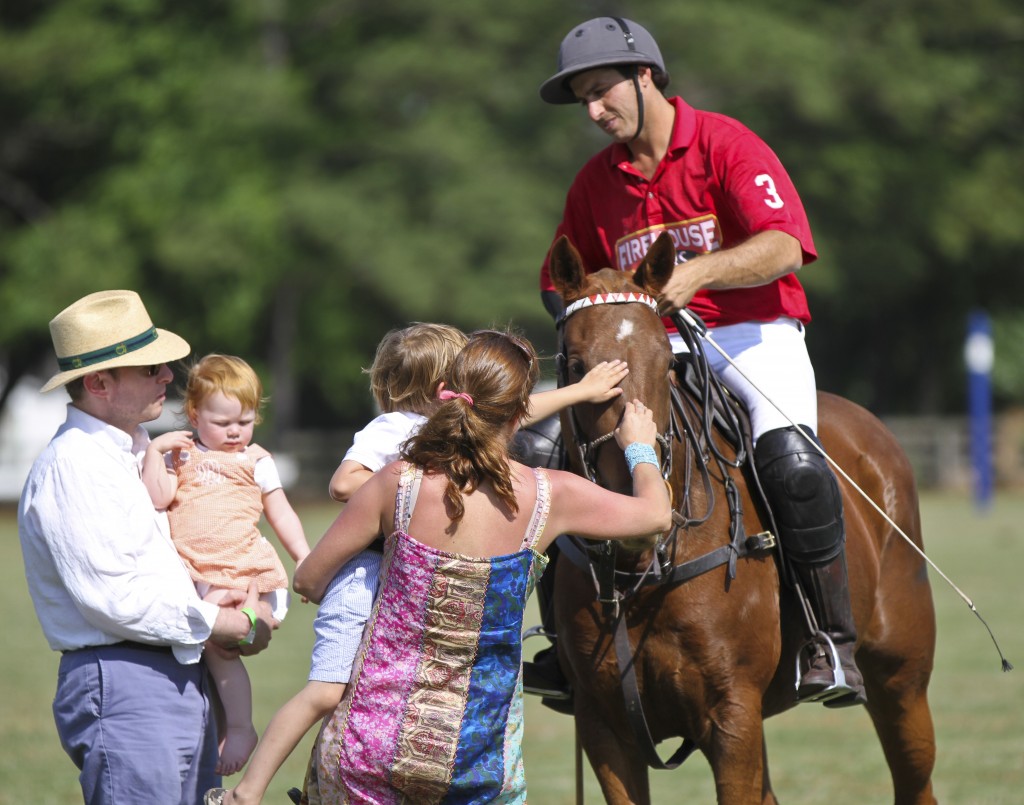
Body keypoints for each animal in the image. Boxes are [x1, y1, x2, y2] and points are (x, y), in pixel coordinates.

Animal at [548, 233, 937, 802]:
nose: (636, 504)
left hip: (901, 678)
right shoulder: (604, 726)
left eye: (665, 362)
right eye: (576, 366)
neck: (644, 570)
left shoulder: (731, 714)